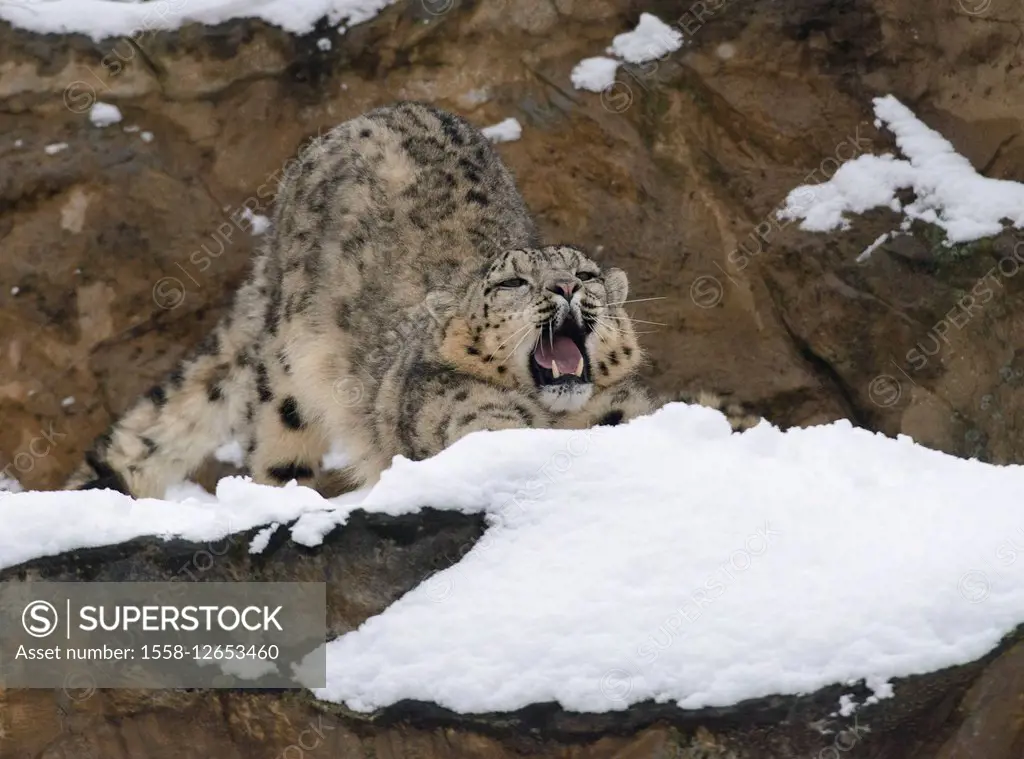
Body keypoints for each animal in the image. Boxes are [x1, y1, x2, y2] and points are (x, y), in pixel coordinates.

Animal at [61, 101, 753, 503]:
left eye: (585, 271)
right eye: (511, 284)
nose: (565, 288)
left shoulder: (628, 406)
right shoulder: (458, 416)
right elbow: (496, 433)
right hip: (290, 368)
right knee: (276, 441)